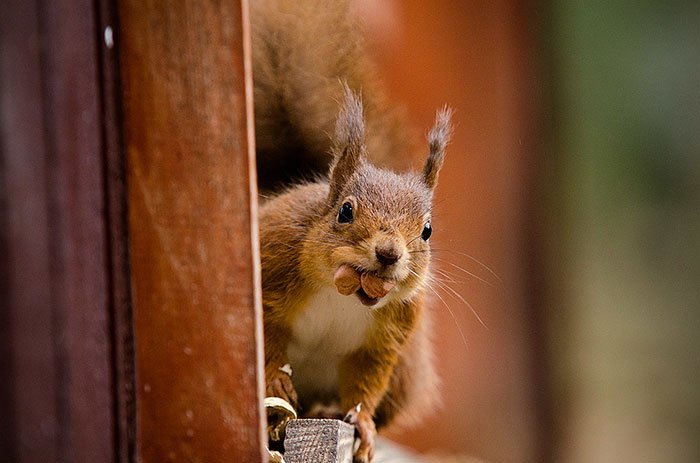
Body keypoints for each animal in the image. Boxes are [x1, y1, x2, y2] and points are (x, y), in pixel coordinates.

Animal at [252, 1, 454, 462]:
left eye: (427, 230)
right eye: (345, 211)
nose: (389, 253)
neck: (344, 290)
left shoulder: (389, 335)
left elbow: (367, 381)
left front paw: (360, 420)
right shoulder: (273, 267)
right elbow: (268, 337)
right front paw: (274, 379)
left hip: (406, 372)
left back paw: (326, 409)